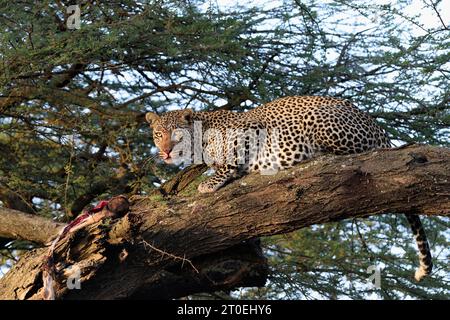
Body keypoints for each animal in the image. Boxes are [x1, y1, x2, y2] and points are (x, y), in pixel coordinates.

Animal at [144, 95, 432, 280]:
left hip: (321, 120)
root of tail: (379, 129)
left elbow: (230, 159)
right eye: (158, 135)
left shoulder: (250, 128)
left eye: (176, 134)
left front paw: (211, 182)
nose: (166, 152)